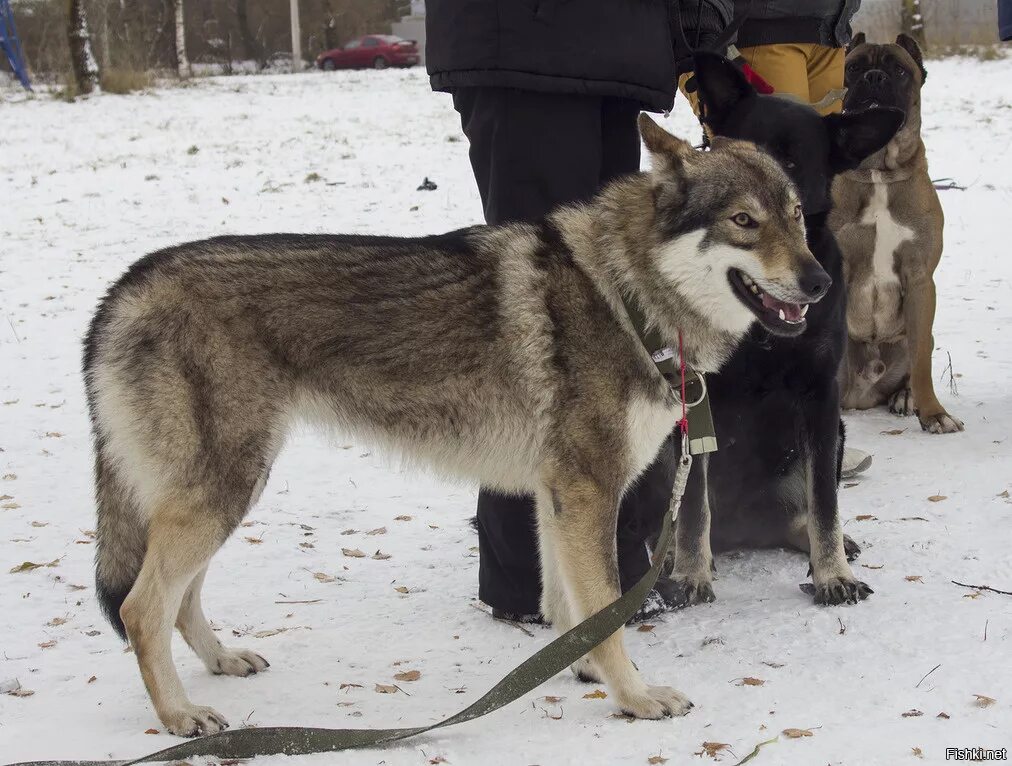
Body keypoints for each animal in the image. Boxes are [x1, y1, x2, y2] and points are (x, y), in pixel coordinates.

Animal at [663, 52, 902, 603]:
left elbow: (825, 502)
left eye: (792, 164)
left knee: (803, 509)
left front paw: (834, 573)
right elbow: (692, 505)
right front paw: (690, 573)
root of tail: (745, 531)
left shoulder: (820, 399)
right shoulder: (696, 399)